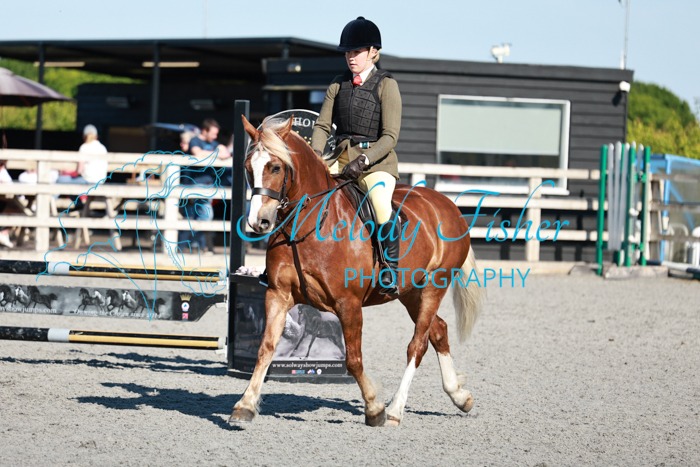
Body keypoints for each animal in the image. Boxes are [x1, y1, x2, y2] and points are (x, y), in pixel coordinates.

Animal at [230, 115, 484, 427]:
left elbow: (353, 359)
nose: (259, 222)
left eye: (275, 167)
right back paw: (459, 395)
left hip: (434, 287)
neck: (309, 224)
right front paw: (245, 405)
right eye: (247, 167)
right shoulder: (278, 295)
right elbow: (265, 348)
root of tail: (447, 205)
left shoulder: (348, 304)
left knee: (418, 344)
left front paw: (374, 408)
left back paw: (396, 409)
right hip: (411, 293)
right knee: (438, 331)